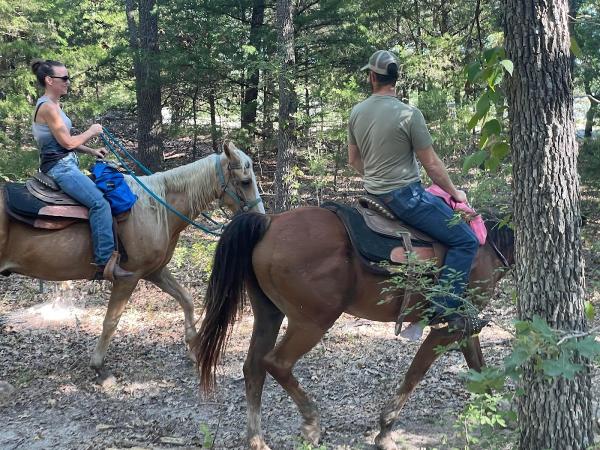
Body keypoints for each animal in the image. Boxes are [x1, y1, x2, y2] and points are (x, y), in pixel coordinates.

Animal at [0, 142, 262, 382]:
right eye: (245, 181)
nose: (259, 216)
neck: (156, 208)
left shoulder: (155, 271)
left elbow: (186, 300)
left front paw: (194, 349)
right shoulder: (129, 276)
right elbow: (111, 321)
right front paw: (99, 368)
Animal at [193, 207, 516, 450]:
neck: (487, 247)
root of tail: (270, 221)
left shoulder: (465, 326)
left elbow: (479, 365)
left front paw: (497, 414)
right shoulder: (446, 329)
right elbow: (415, 374)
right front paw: (385, 432)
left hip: (269, 314)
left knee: (253, 368)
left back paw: (257, 441)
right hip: (312, 321)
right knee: (276, 363)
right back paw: (311, 424)